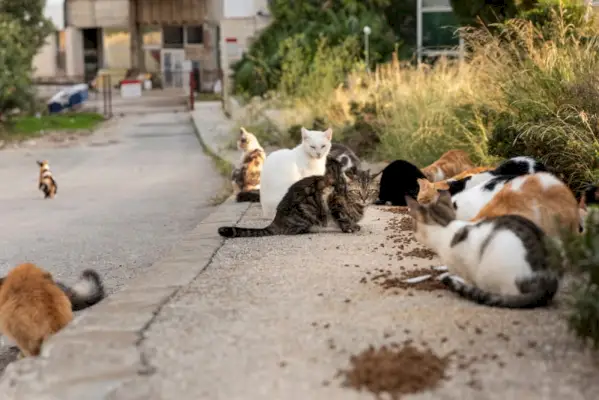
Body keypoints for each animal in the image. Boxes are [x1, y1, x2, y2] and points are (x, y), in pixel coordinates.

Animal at [218, 156, 382, 238]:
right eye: (357, 192)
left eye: (370, 191)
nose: (364, 199)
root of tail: (276, 220)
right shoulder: (333, 201)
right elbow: (341, 217)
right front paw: (349, 228)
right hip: (306, 210)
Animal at [406, 191, 560, 310]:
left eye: (413, 225)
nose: (413, 232)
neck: (446, 227)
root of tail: (544, 287)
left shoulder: (463, 262)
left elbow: (464, 276)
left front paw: (453, 277)